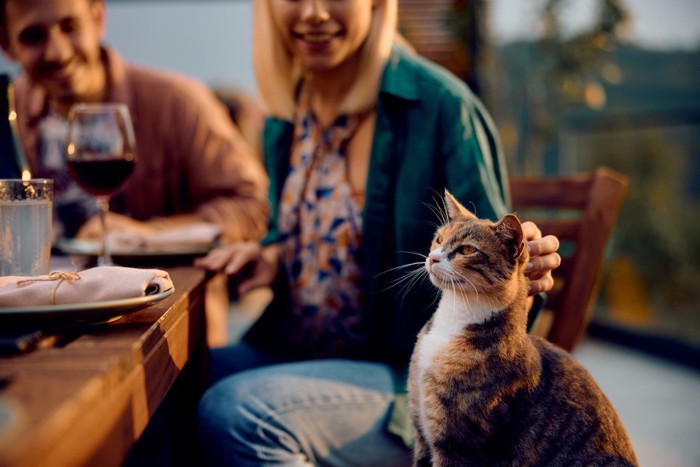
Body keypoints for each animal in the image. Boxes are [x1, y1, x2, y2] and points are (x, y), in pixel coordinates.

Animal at [404, 190, 640, 467]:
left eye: (467, 249)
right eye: (439, 239)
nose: (433, 257)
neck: (452, 323)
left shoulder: (460, 446)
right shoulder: (421, 431)